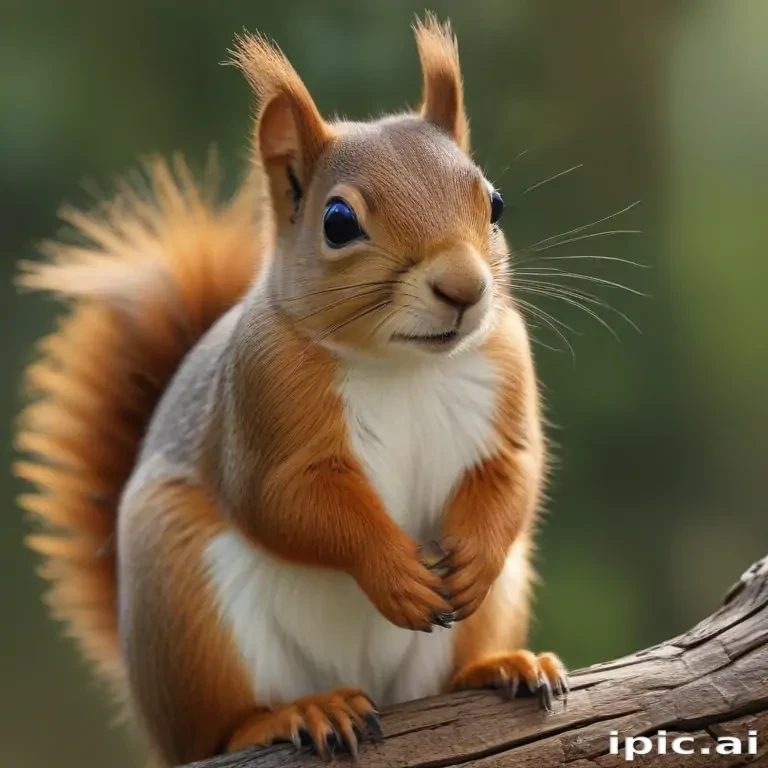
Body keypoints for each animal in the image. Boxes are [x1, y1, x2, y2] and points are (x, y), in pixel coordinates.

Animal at [15, 14, 567, 767]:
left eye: (495, 203)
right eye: (338, 222)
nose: (465, 287)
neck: (404, 365)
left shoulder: (508, 370)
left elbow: (514, 471)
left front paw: (474, 559)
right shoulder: (262, 404)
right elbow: (288, 502)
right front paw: (391, 570)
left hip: (493, 604)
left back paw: (502, 665)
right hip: (188, 606)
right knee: (221, 725)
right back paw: (296, 713)